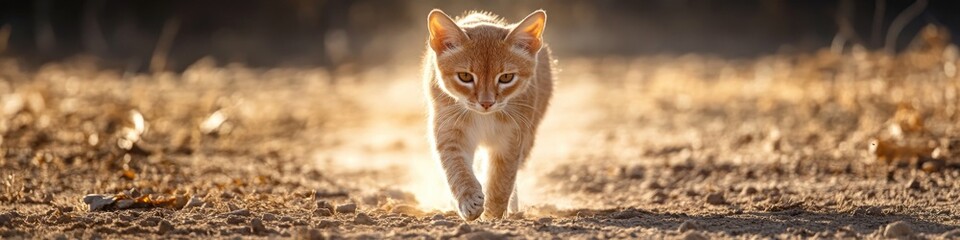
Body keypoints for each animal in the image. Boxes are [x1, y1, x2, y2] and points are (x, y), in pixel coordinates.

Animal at [422, 8, 556, 219]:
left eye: (506, 77)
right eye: (465, 76)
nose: (486, 103)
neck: (483, 117)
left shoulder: (511, 138)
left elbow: (501, 179)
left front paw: (494, 215)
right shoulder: (449, 130)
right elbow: (456, 167)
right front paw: (469, 200)